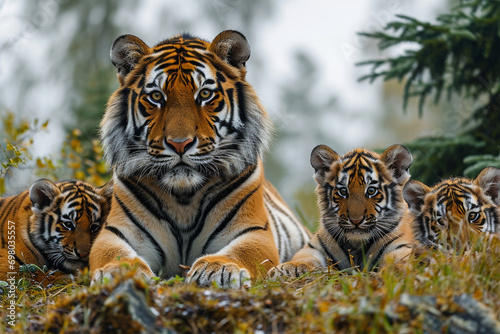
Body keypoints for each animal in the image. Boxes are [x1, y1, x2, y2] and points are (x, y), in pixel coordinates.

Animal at [88, 30, 310, 288]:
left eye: (204, 94)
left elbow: (240, 252)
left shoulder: (254, 231)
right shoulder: (115, 232)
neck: (184, 196)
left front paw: (217, 269)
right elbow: (114, 254)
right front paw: (119, 272)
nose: (179, 144)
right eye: (156, 96)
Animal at [268, 145, 416, 278]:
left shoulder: (401, 247)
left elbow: (400, 261)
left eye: (371, 191)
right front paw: (288, 268)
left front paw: (396, 271)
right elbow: (303, 259)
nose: (356, 220)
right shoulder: (313, 248)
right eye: (343, 191)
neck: (356, 244)